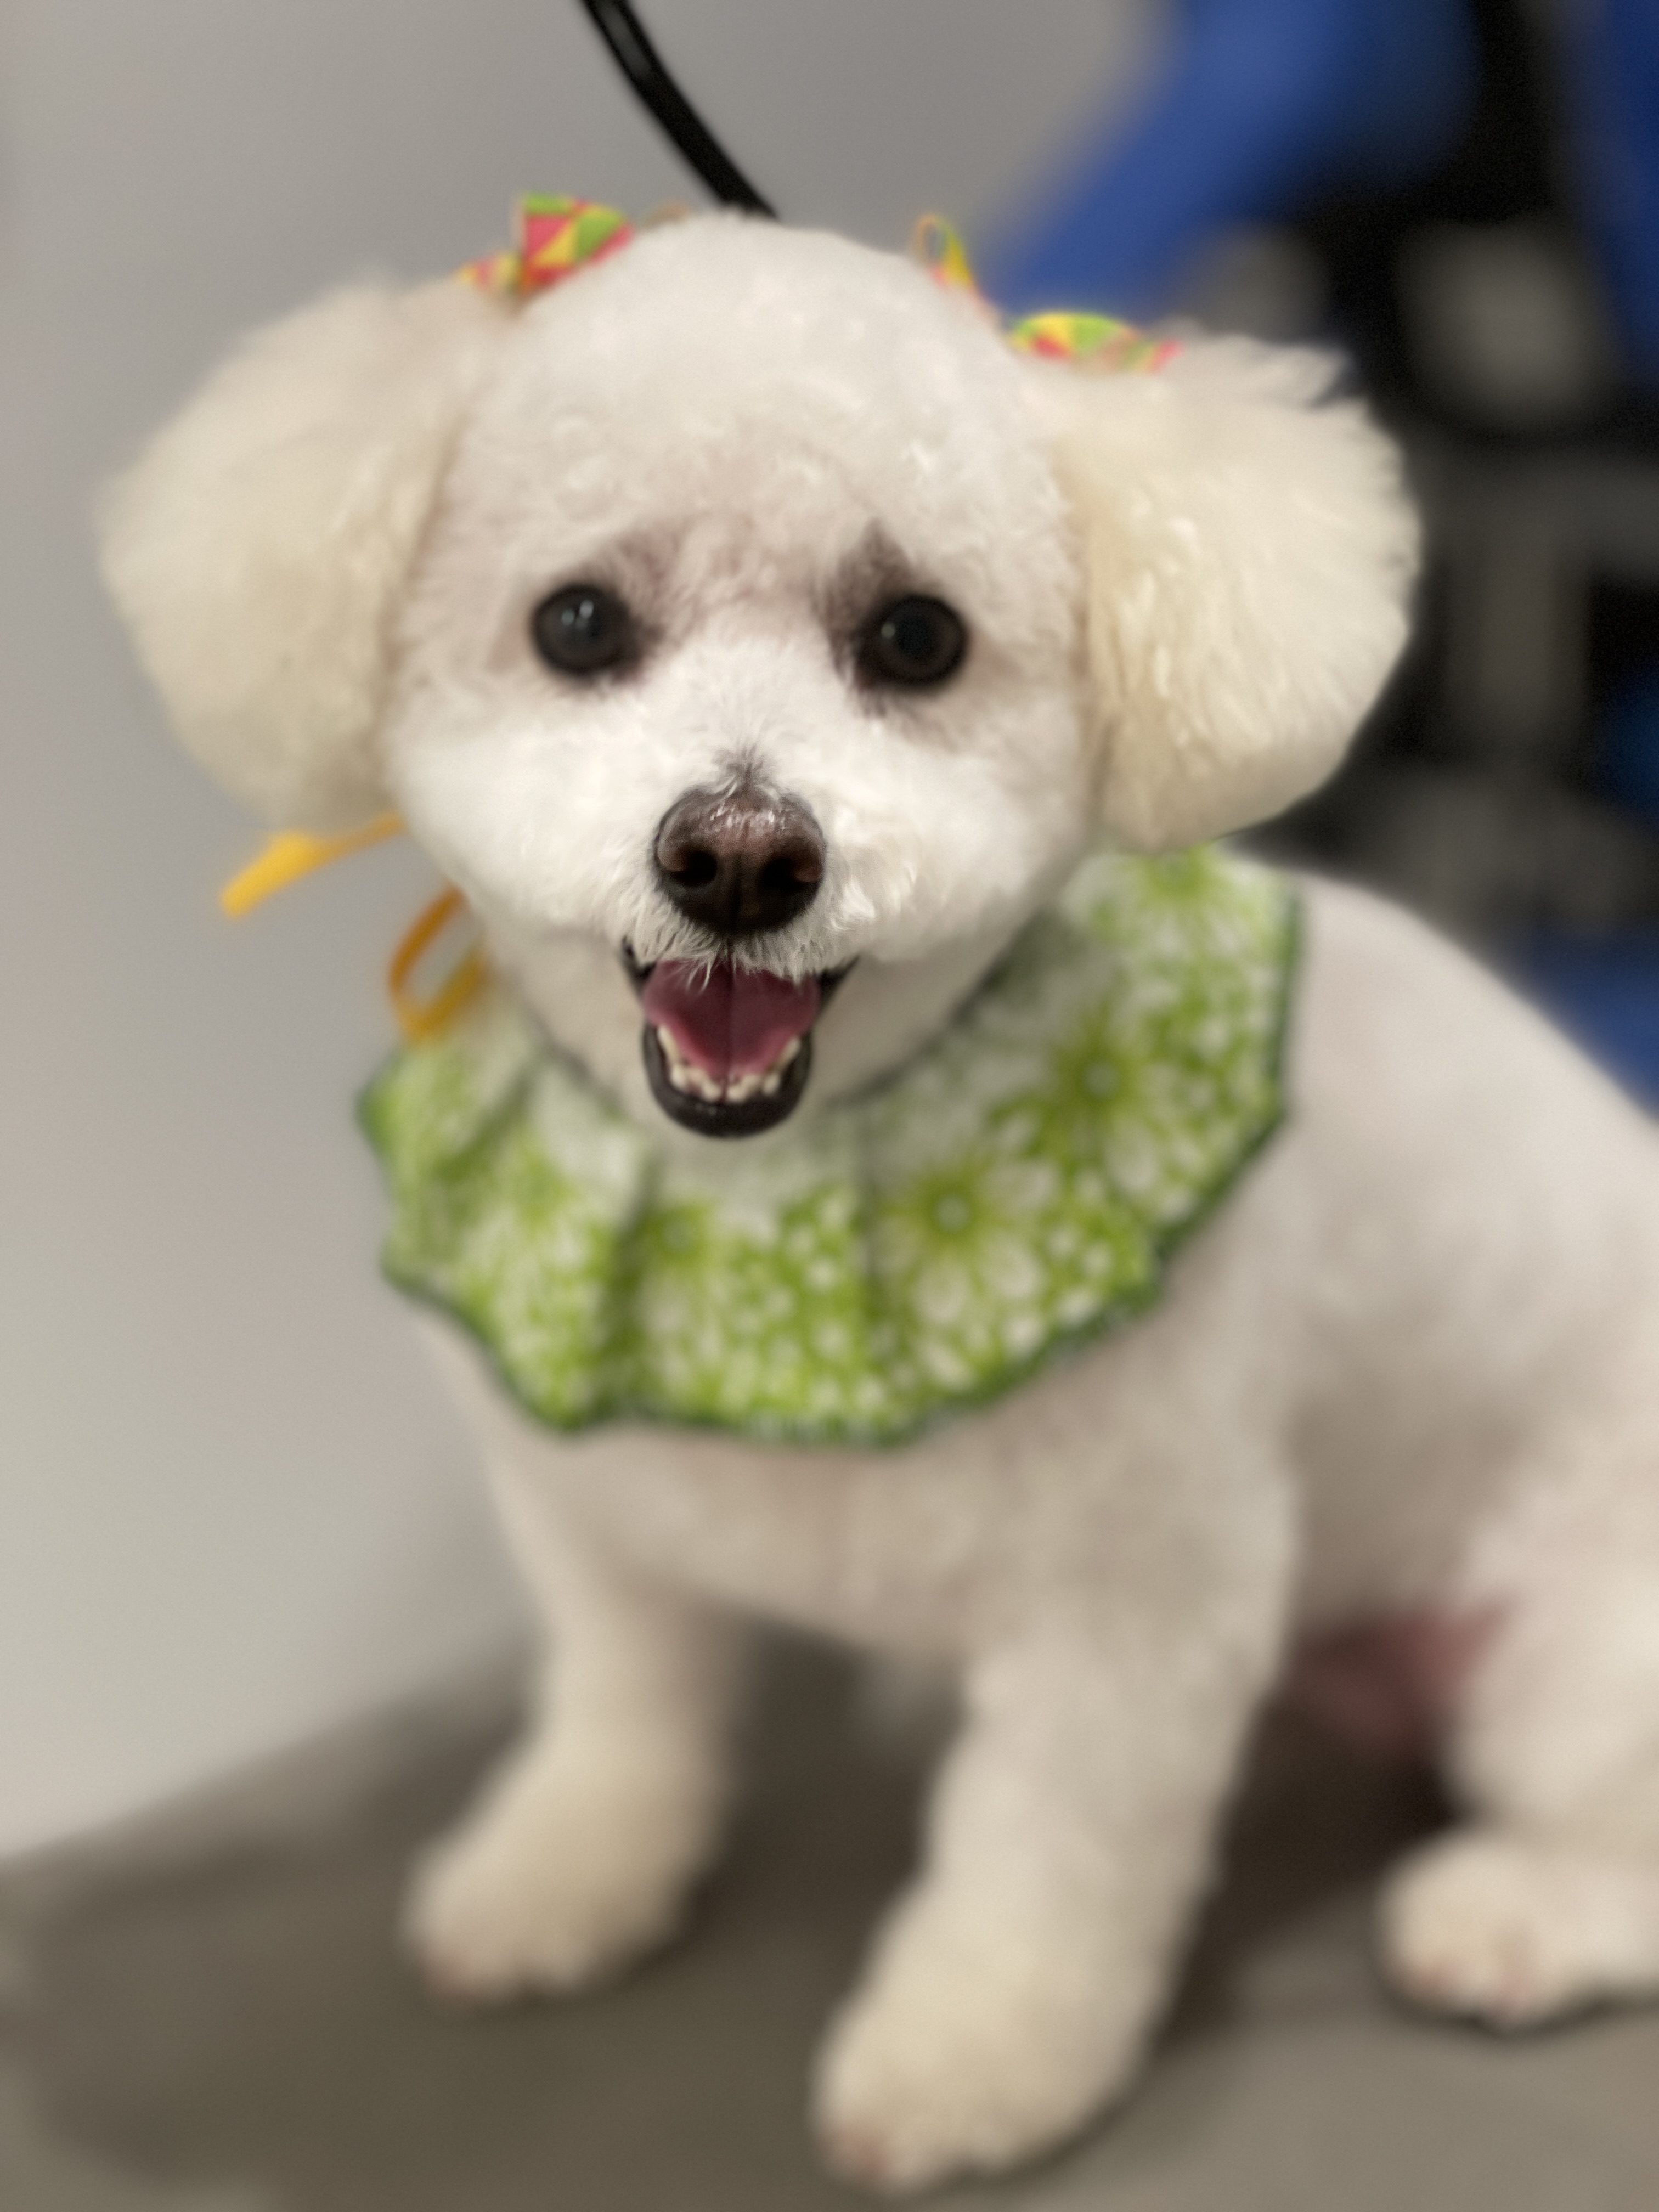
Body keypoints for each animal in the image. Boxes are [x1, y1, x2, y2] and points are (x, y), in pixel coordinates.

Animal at [97, 211, 1659, 2194]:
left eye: (915, 637)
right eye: (578, 623)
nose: (738, 855)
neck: (767, 1191)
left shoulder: (1134, 1612)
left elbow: (1042, 1860)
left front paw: (969, 2059)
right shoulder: (594, 1522)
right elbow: (621, 1705)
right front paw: (560, 1873)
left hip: (1578, 1660)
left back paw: (1511, 1919)